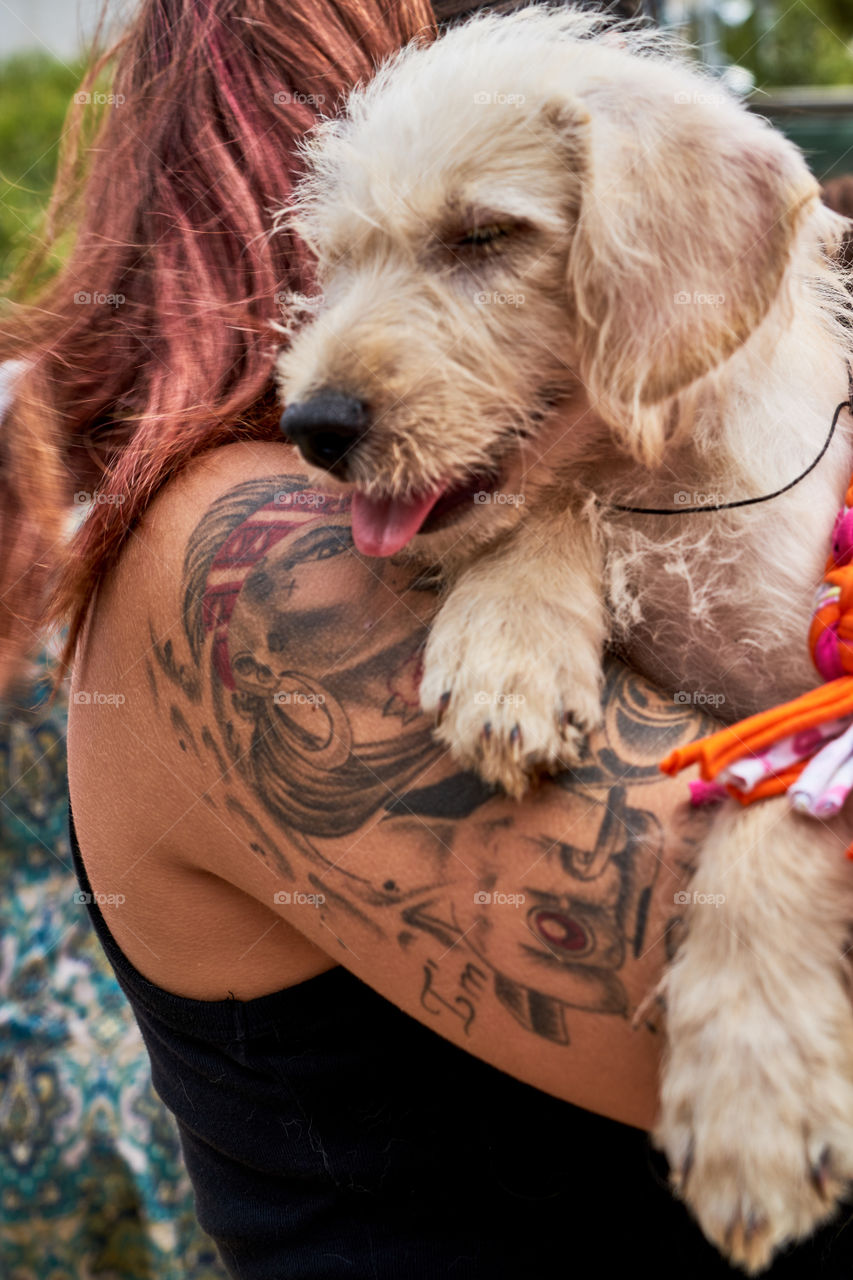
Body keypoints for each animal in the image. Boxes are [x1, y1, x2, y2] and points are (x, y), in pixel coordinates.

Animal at [274, 7, 853, 1269]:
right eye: (337, 260)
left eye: (483, 235)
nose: (310, 424)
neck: (669, 485)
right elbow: (544, 514)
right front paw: (511, 649)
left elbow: (773, 816)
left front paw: (751, 1099)